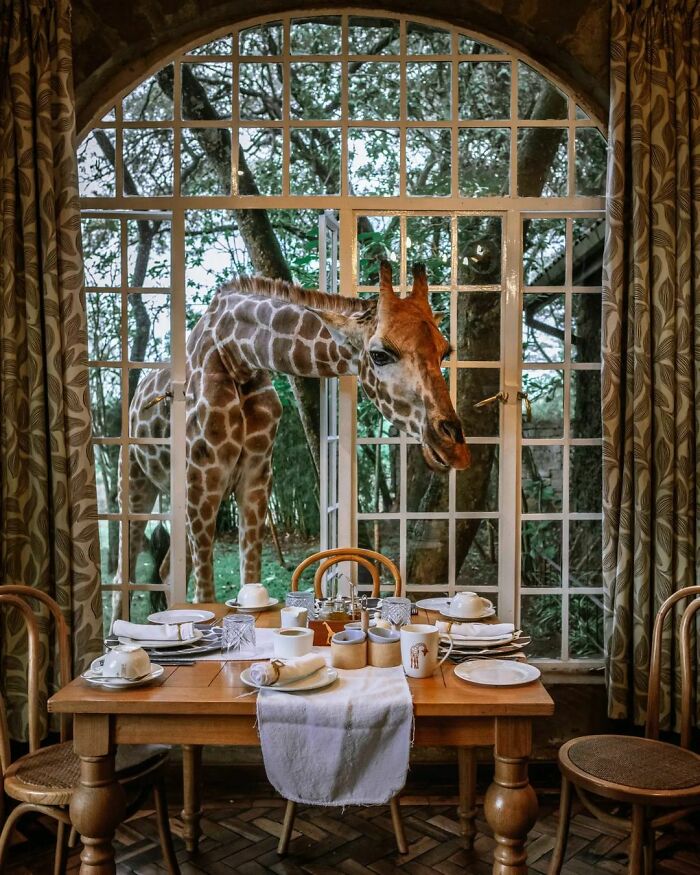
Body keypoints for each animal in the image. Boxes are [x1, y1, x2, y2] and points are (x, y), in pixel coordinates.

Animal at [120, 261, 470, 602]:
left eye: (445, 352)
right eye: (379, 354)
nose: (454, 447)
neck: (237, 355)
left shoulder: (256, 479)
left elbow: (250, 577)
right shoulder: (203, 478)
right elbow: (204, 596)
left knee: (166, 569)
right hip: (138, 483)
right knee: (127, 566)